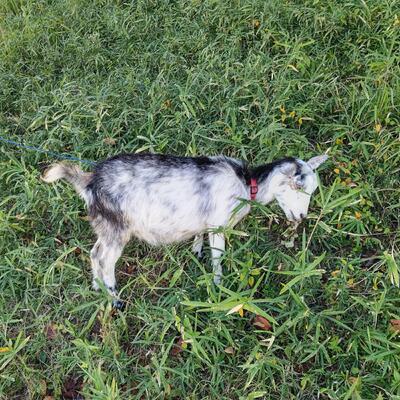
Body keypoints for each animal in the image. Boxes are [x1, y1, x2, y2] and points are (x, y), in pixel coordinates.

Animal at [42, 152, 327, 307]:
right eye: (299, 187)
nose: (301, 216)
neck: (247, 184)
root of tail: (88, 181)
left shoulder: (205, 220)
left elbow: (199, 236)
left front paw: (196, 250)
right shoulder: (218, 223)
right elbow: (218, 257)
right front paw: (219, 287)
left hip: (105, 225)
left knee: (93, 252)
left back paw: (96, 285)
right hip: (117, 227)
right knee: (104, 259)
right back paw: (115, 298)